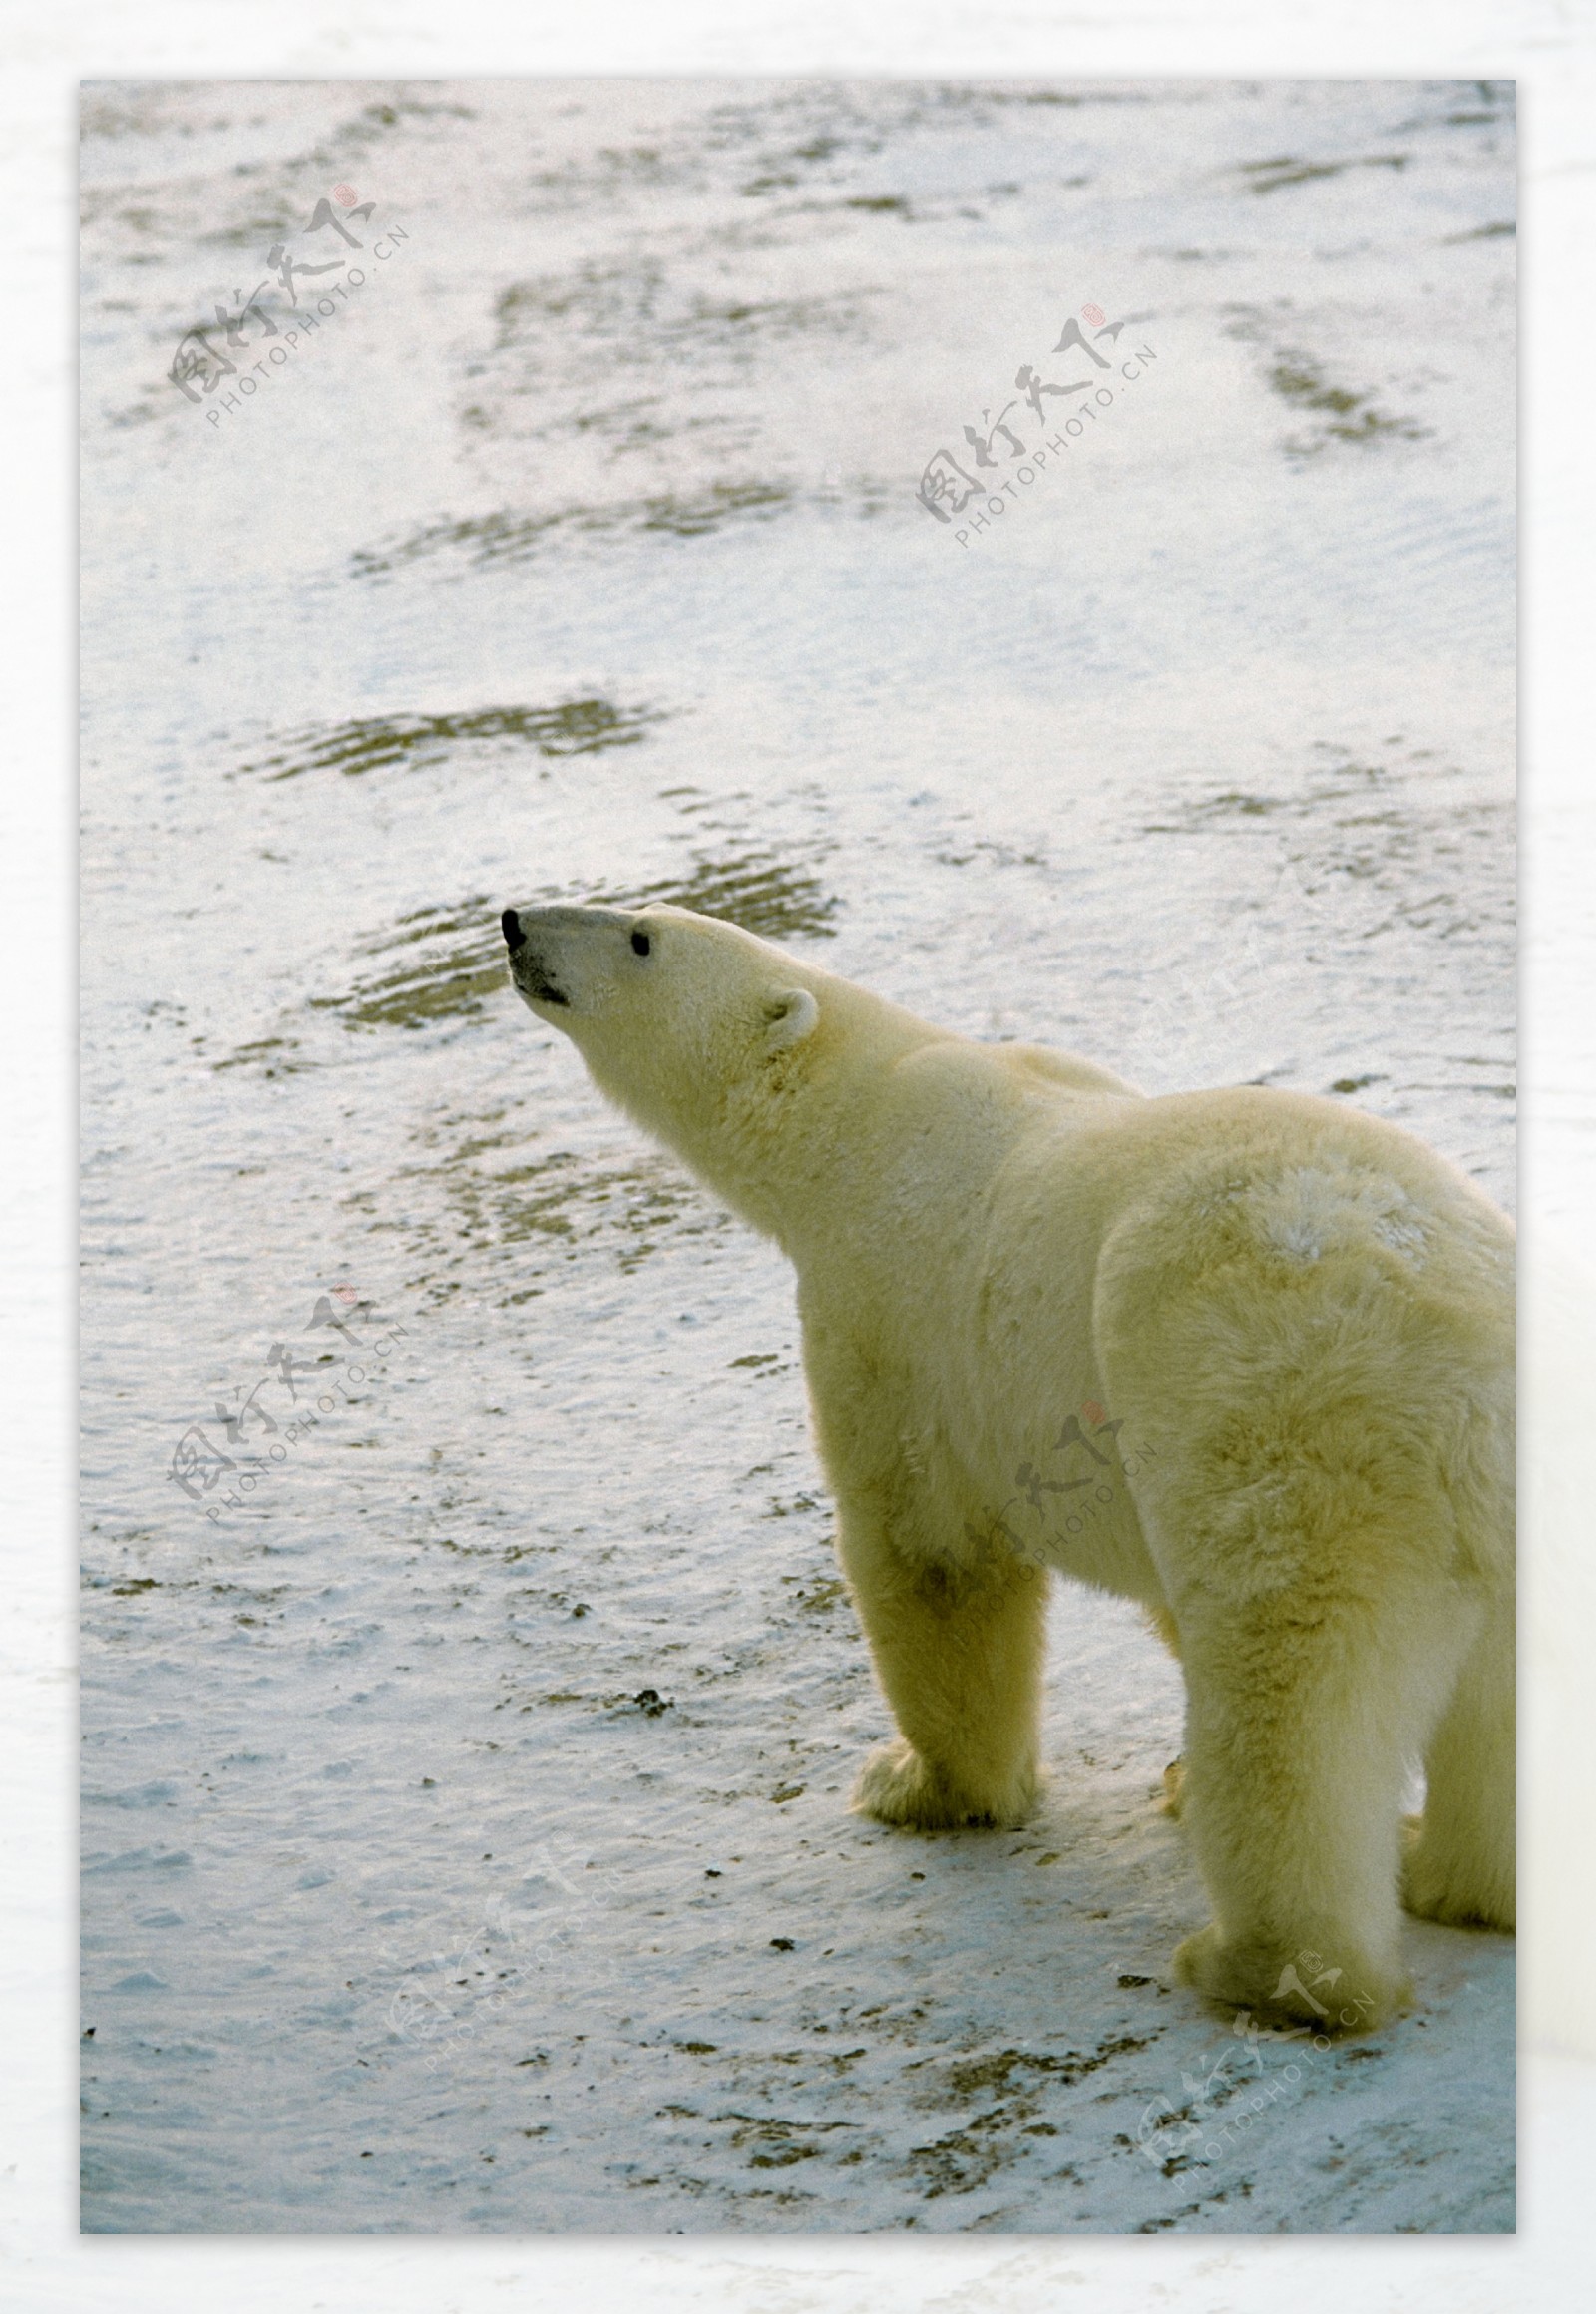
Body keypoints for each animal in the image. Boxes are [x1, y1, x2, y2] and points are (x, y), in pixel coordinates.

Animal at [504, 898, 1507, 2027]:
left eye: (641, 938)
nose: (514, 924)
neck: (855, 1112)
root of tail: (1460, 1354)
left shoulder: (891, 1311)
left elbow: (930, 1553)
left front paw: (918, 1784)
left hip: (1288, 1417)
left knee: (1290, 1697)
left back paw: (1265, 1966)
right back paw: (1455, 1879)